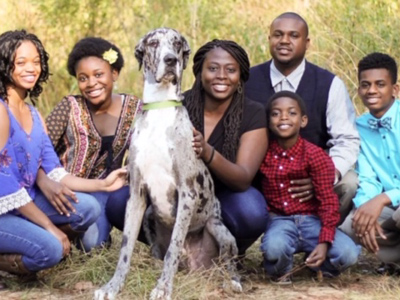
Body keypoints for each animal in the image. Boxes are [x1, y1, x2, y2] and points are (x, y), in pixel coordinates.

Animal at [94, 27, 241, 300]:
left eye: (177, 43)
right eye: (153, 43)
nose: (170, 60)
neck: (160, 106)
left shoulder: (187, 194)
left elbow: (174, 245)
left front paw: (163, 288)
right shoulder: (136, 195)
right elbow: (125, 249)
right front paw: (113, 286)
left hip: (218, 228)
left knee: (227, 261)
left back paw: (232, 281)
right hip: (150, 215)